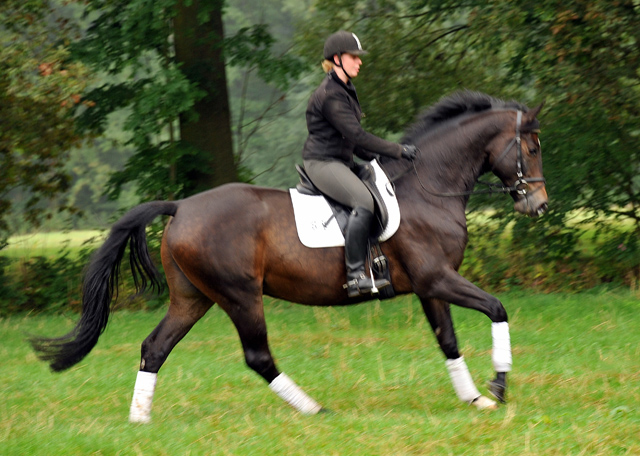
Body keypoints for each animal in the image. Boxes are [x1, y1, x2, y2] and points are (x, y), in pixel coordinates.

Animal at [30, 90, 548, 424]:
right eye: (532, 146)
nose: (538, 205)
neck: (428, 188)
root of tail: (181, 206)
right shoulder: (437, 278)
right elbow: (497, 309)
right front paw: (499, 386)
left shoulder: (429, 286)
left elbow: (448, 340)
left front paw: (476, 399)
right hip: (240, 295)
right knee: (258, 355)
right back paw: (314, 409)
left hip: (193, 297)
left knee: (154, 347)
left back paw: (140, 420)